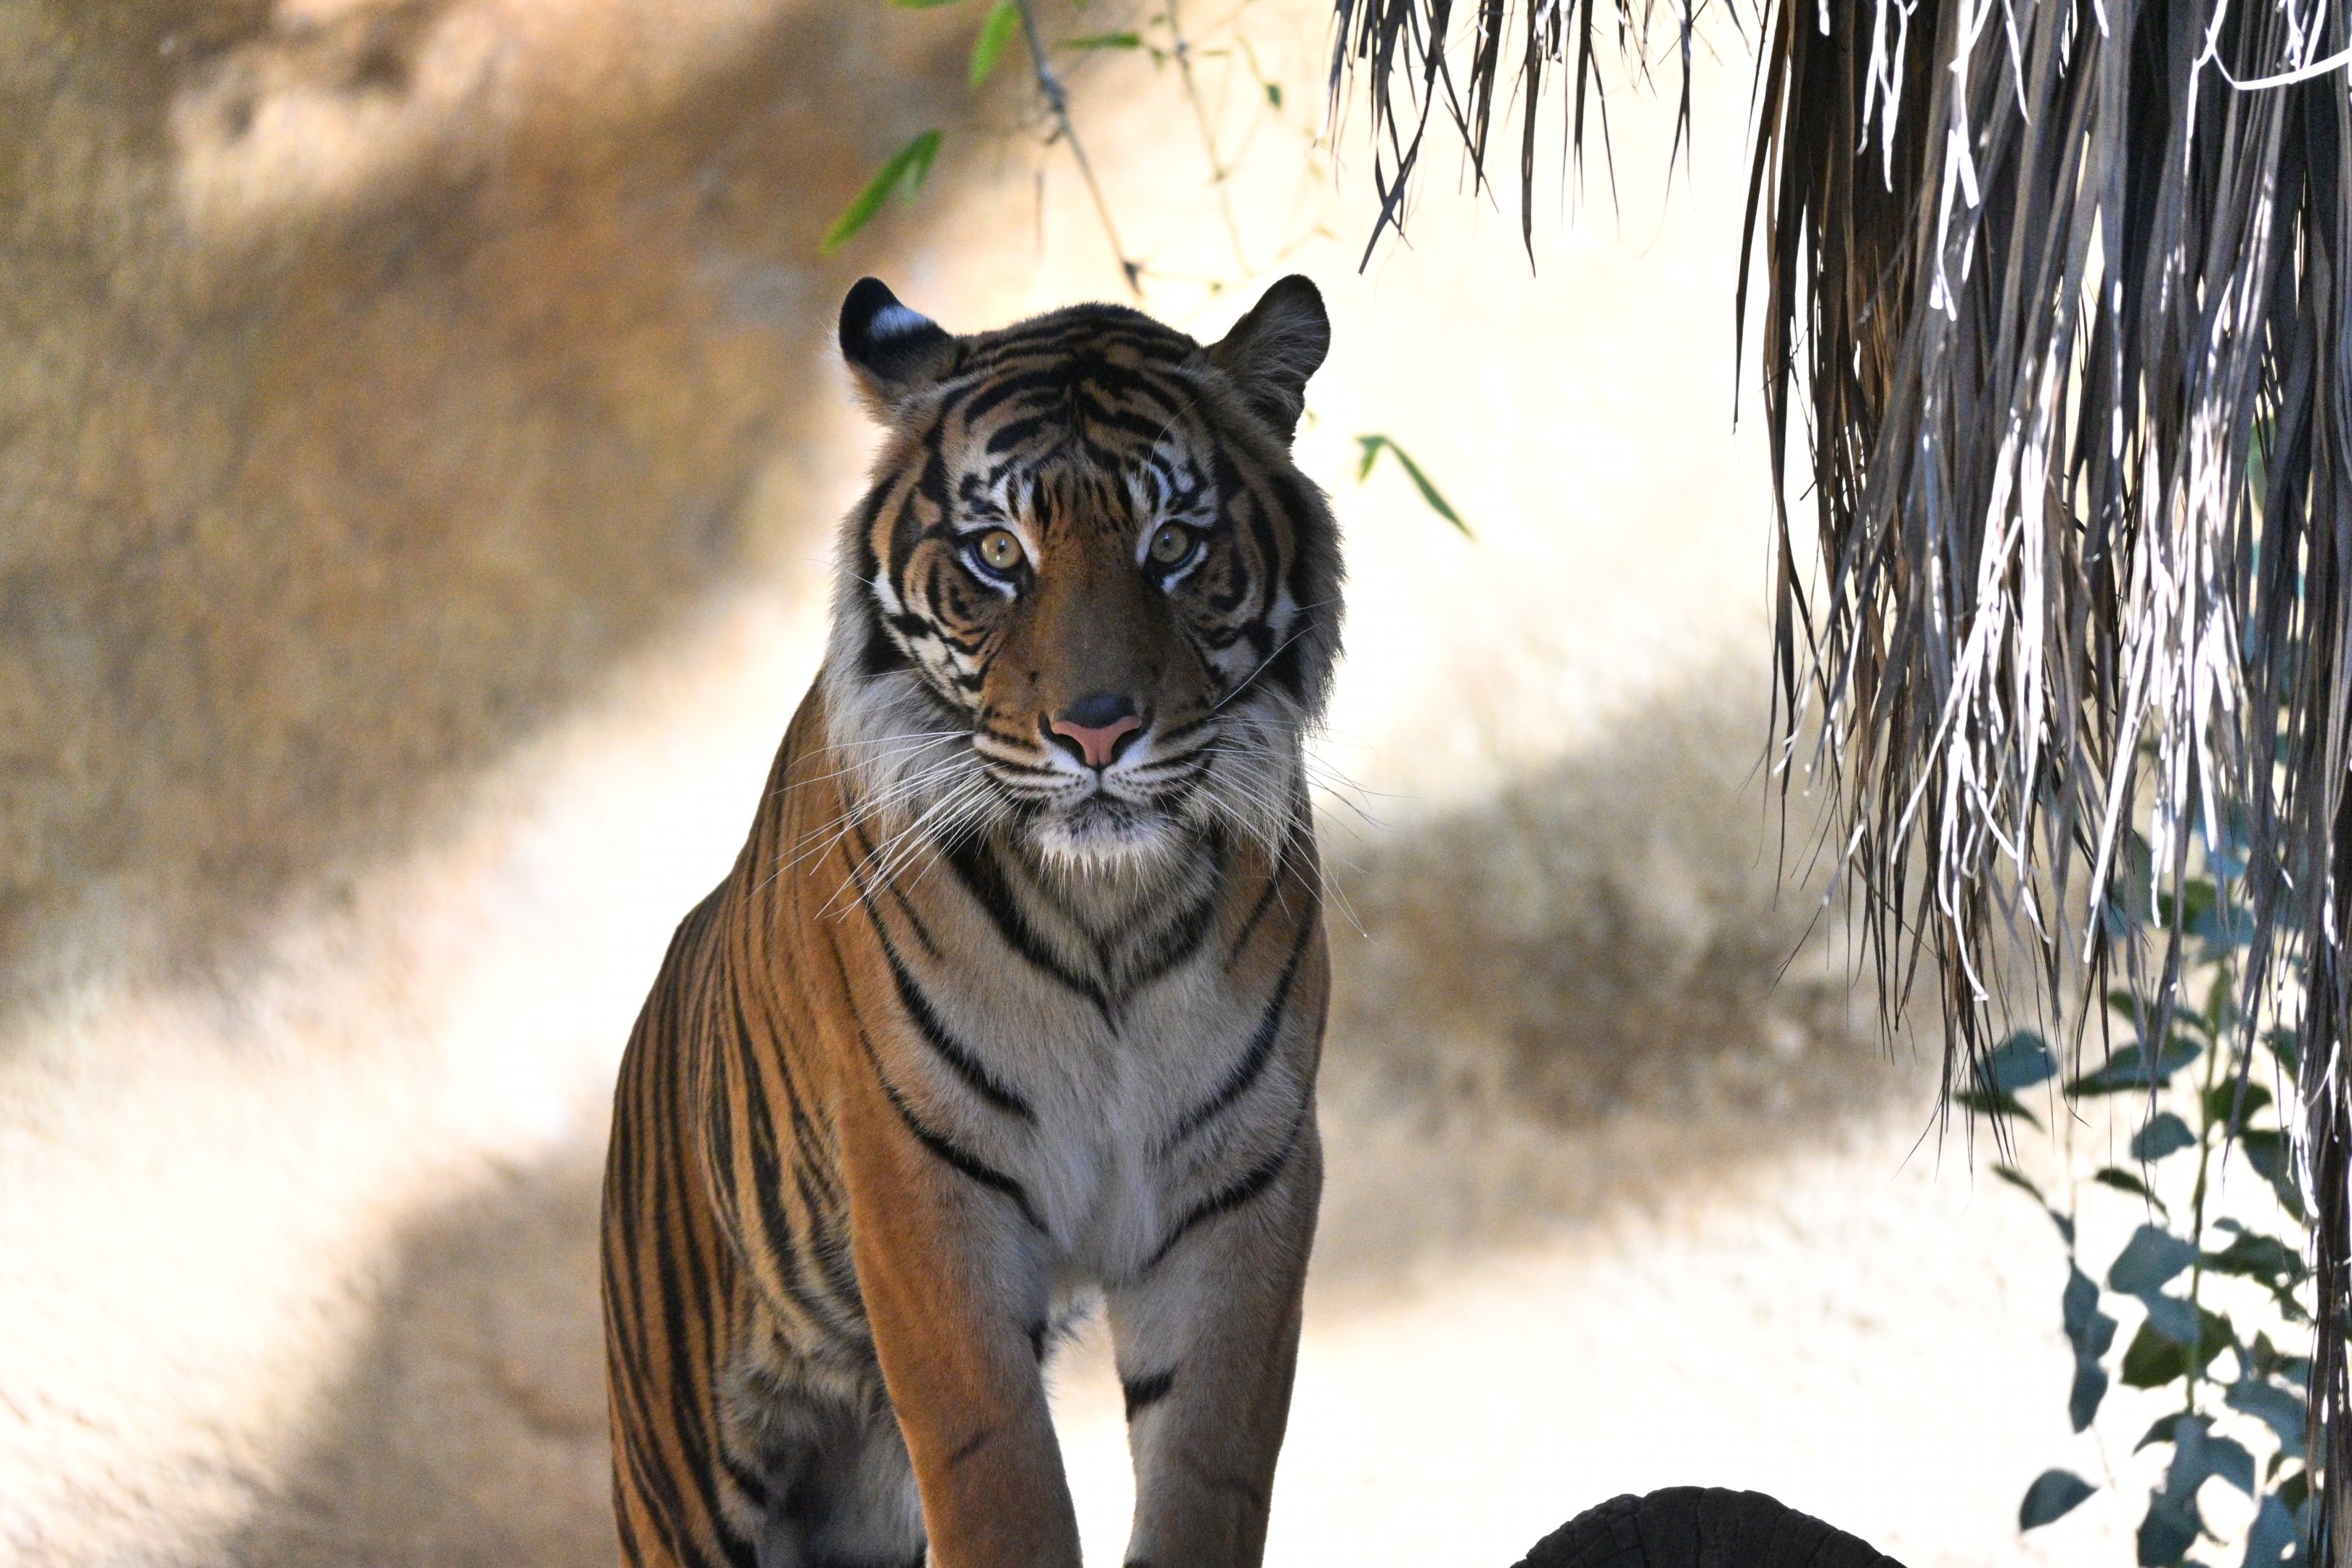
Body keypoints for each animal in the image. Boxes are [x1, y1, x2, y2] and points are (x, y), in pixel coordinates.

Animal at [599, 273, 1342, 1568]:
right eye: (1000, 552)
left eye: (1172, 547)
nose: (1098, 730)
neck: (1108, 908)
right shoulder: (922, 1189)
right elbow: (1000, 1480)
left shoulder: (1244, 1182)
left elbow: (1210, 1471)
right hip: (684, 1465)